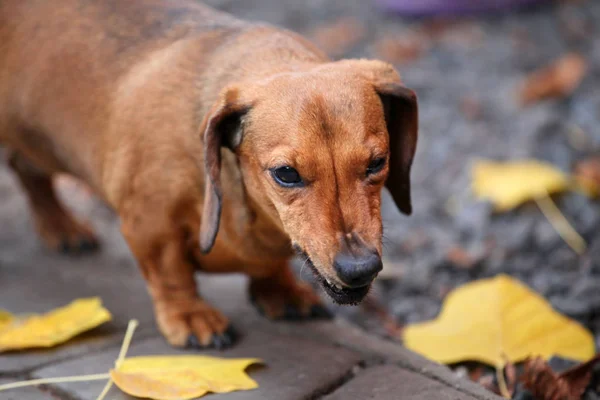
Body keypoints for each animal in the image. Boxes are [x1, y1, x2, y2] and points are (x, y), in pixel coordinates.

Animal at [0, 0, 418, 348]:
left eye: (377, 162)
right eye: (286, 174)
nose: (360, 268)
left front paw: (279, 290)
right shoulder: (149, 226)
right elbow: (169, 273)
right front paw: (190, 316)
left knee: (26, 169)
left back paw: (61, 227)